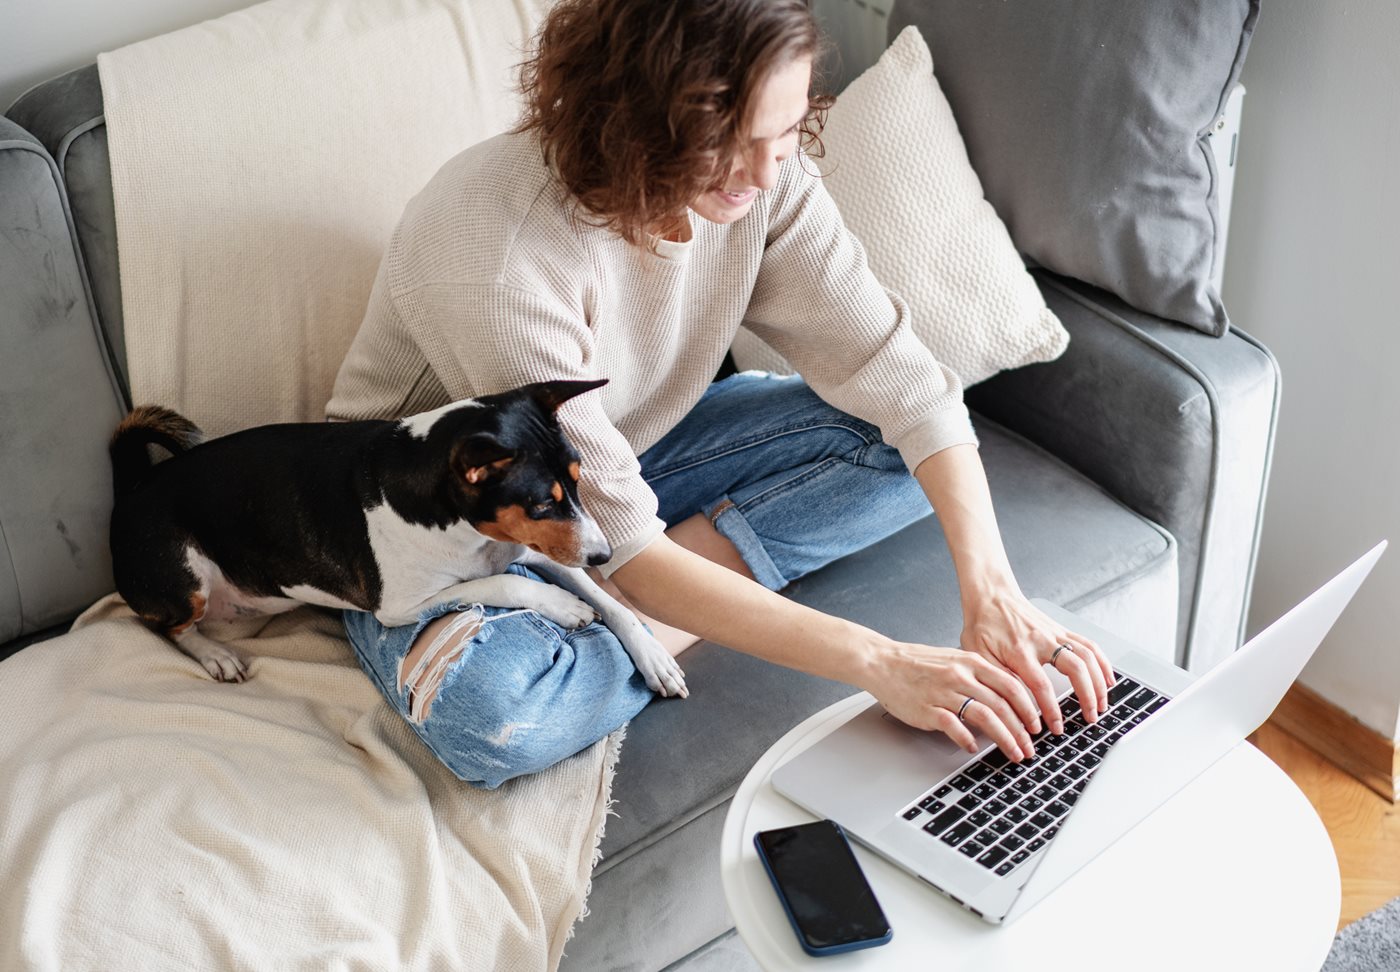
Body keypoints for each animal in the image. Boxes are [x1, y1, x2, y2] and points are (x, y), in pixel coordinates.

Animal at [106, 378, 686, 700]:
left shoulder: (543, 550)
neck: (470, 533)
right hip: (186, 579)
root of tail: (131, 489)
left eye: (579, 481)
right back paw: (214, 655)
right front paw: (563, 607)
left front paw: (653, 657)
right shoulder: (399, 606)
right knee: (167, 627)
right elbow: (507, 584)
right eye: (542, 503)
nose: (603, 553)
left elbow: (613, 605)